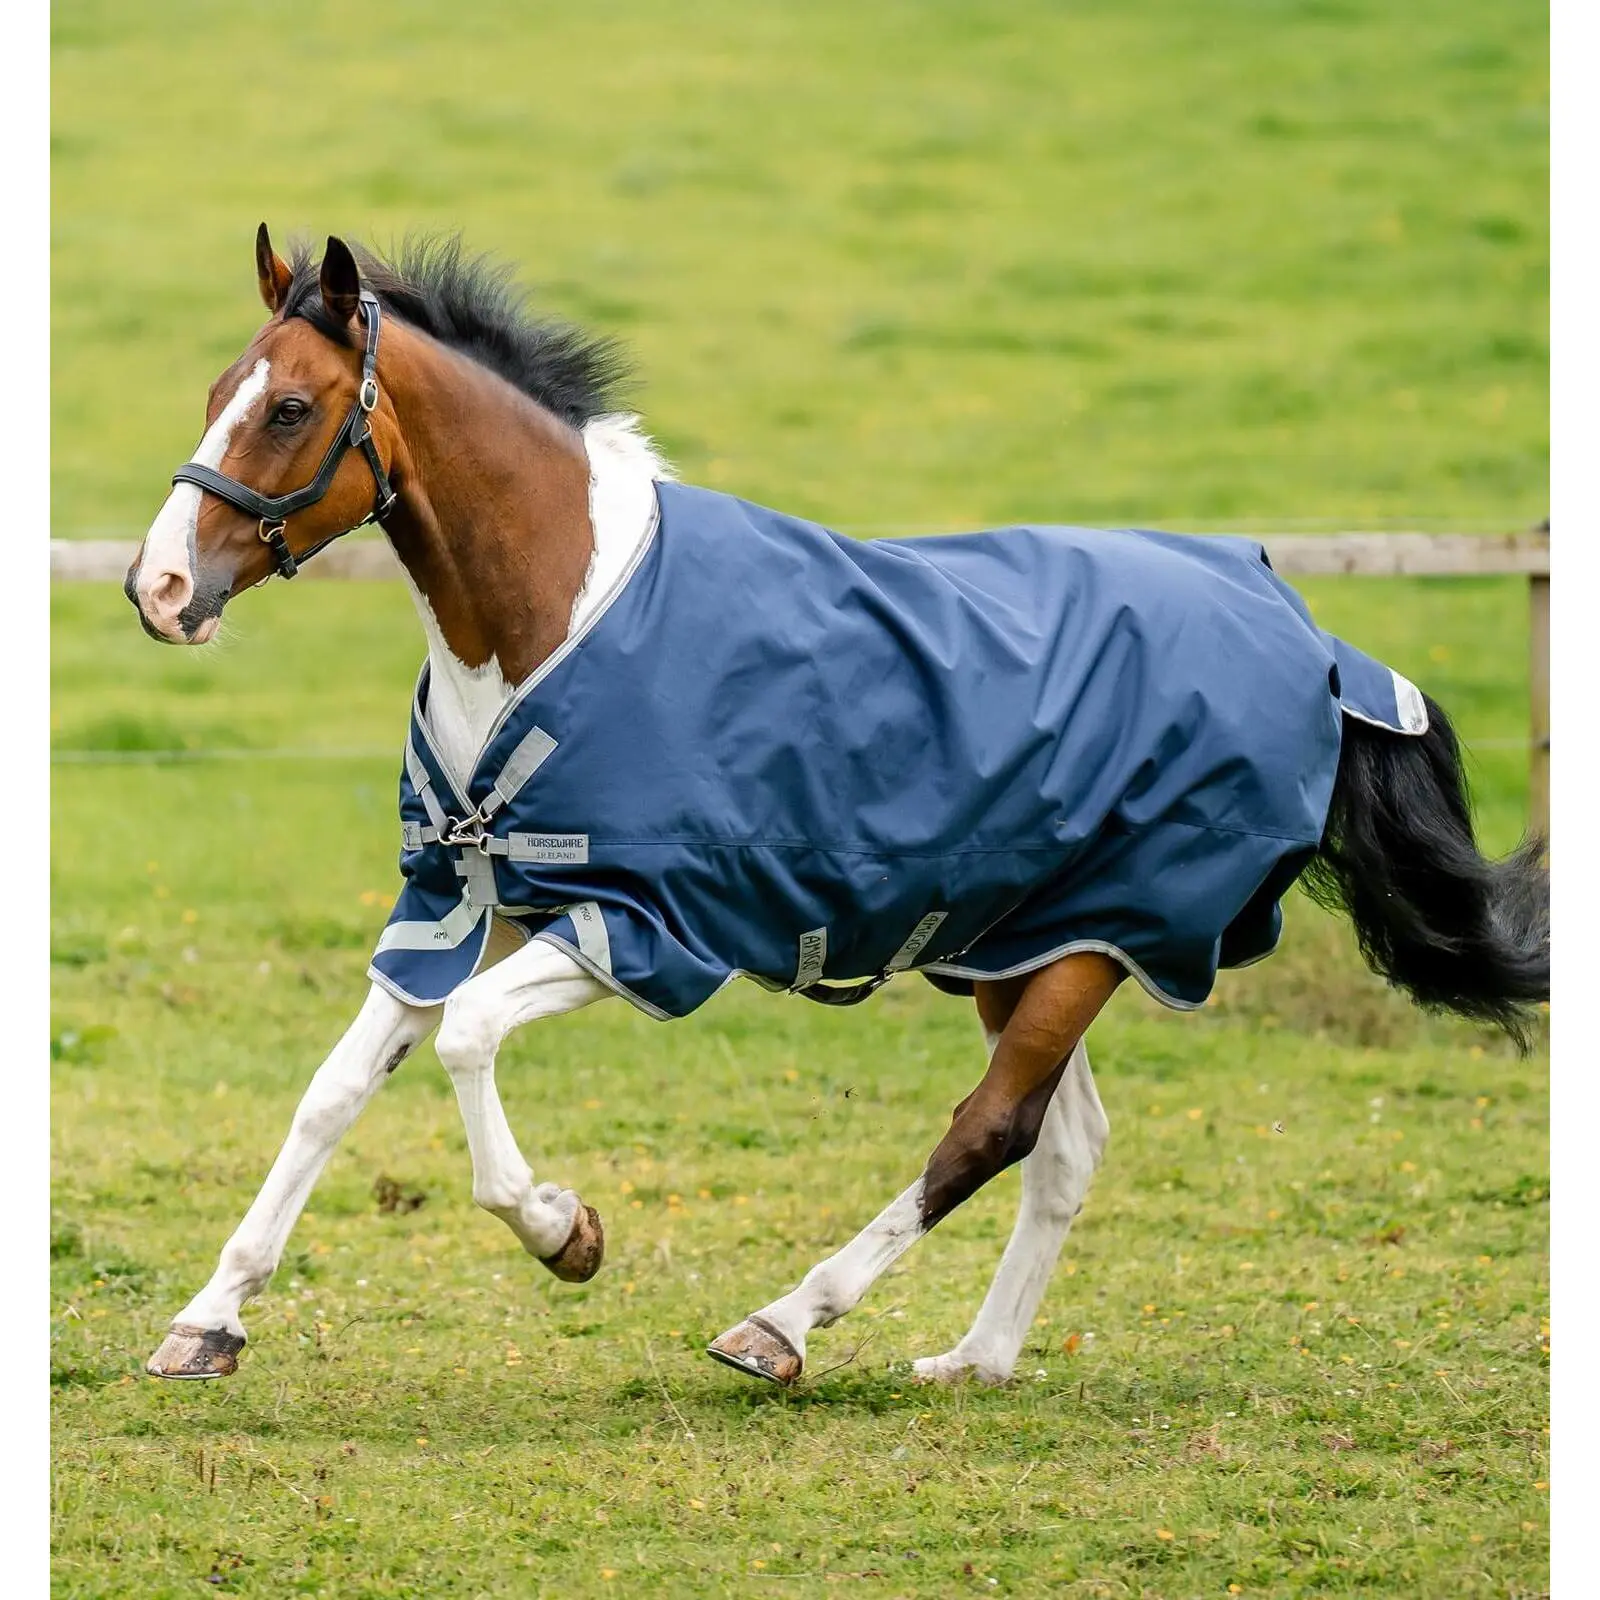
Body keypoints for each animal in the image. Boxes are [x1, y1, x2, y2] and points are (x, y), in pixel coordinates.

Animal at [126, 228, 1548, 1387]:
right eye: (211, 396)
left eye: (291, 406)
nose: (159, 589)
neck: (553, 611)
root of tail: (1314, 643)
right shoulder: (455, 898)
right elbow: (332, 1090)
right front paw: (207, 1324)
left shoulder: (644, 923)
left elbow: (470, 1038)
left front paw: (565, 1232)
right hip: (1029, 940)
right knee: (1064, 1144)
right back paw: (972, 1359)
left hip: (1109, 936)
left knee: (991, 1129)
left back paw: (781, 1325)